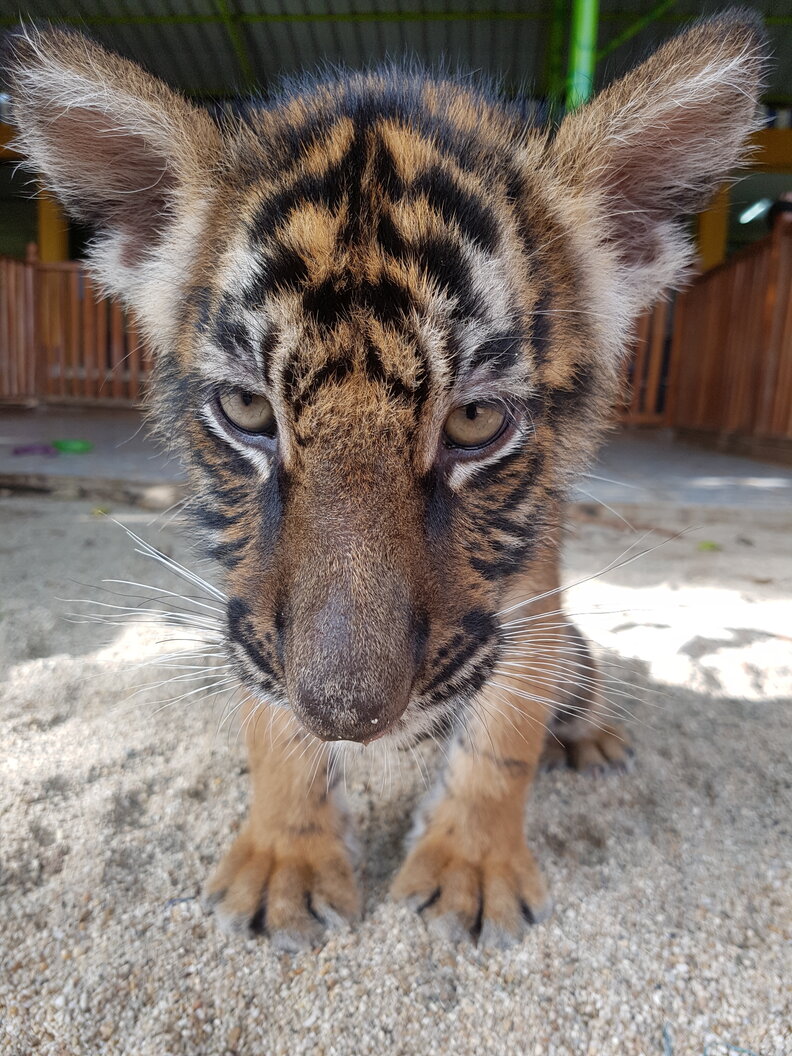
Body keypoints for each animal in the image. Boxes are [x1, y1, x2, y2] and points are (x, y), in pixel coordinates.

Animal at [5, 13, 766, 951]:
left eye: (474, 421)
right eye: (247, 410)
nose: (346, 716)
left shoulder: (525, 596)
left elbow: (504, 736)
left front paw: (473, 871)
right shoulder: (246, 607)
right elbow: (271, 725)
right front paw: (282, 865)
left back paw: (591, 742)